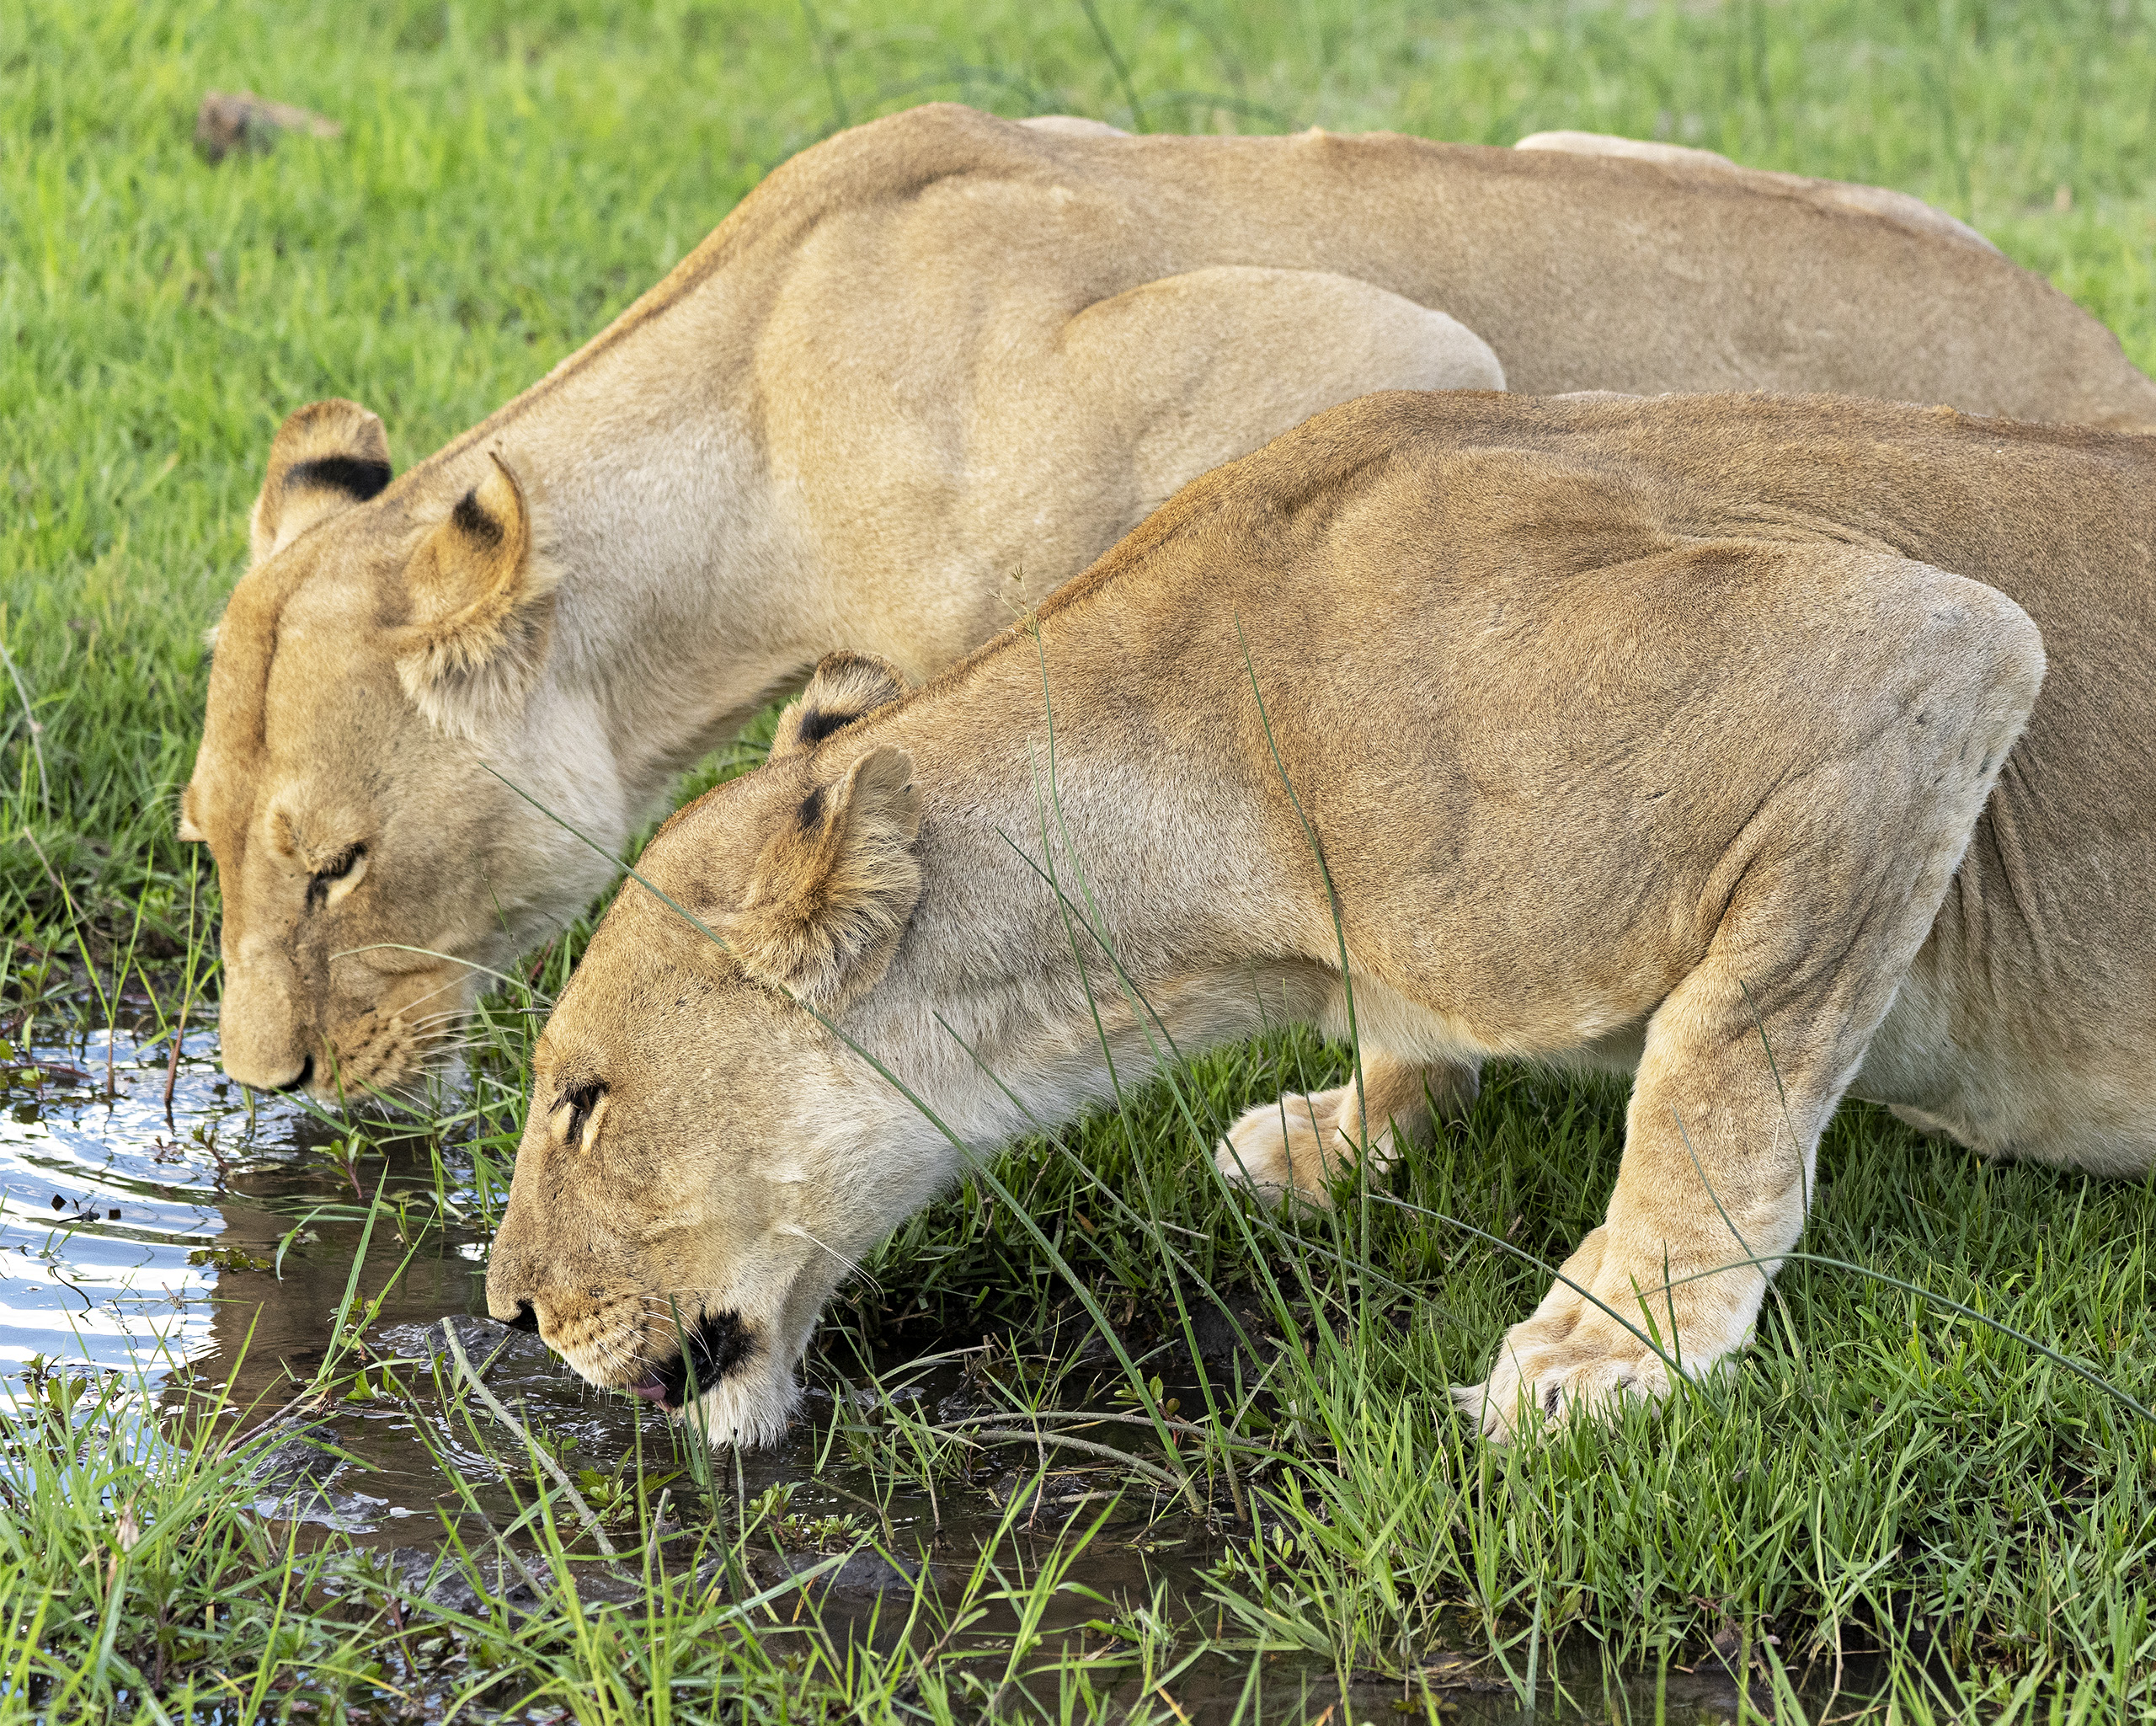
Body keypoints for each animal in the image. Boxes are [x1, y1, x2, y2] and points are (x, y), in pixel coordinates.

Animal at [474, 386, 2156, 1446]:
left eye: (581, 1101)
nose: (505, 1312)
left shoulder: (1912, 658)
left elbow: (1723, 1078)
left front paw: (1617, 1342)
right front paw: (1338, 1136)